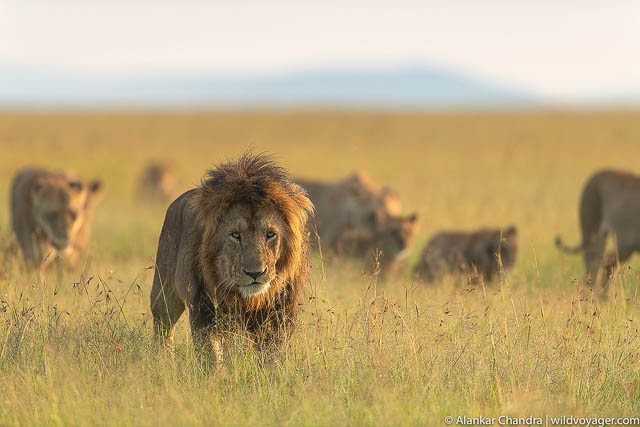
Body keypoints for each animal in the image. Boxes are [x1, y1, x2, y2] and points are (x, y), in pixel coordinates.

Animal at [150, 153, 313, 358]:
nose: (255, 273)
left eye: (270, 234)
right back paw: (163, 360)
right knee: (163, 326)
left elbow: (271, 356)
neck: (249, 300)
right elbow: (211, 355)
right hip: (163, 293)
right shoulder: (204, 312)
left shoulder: (278, 317)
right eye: (235, 235)